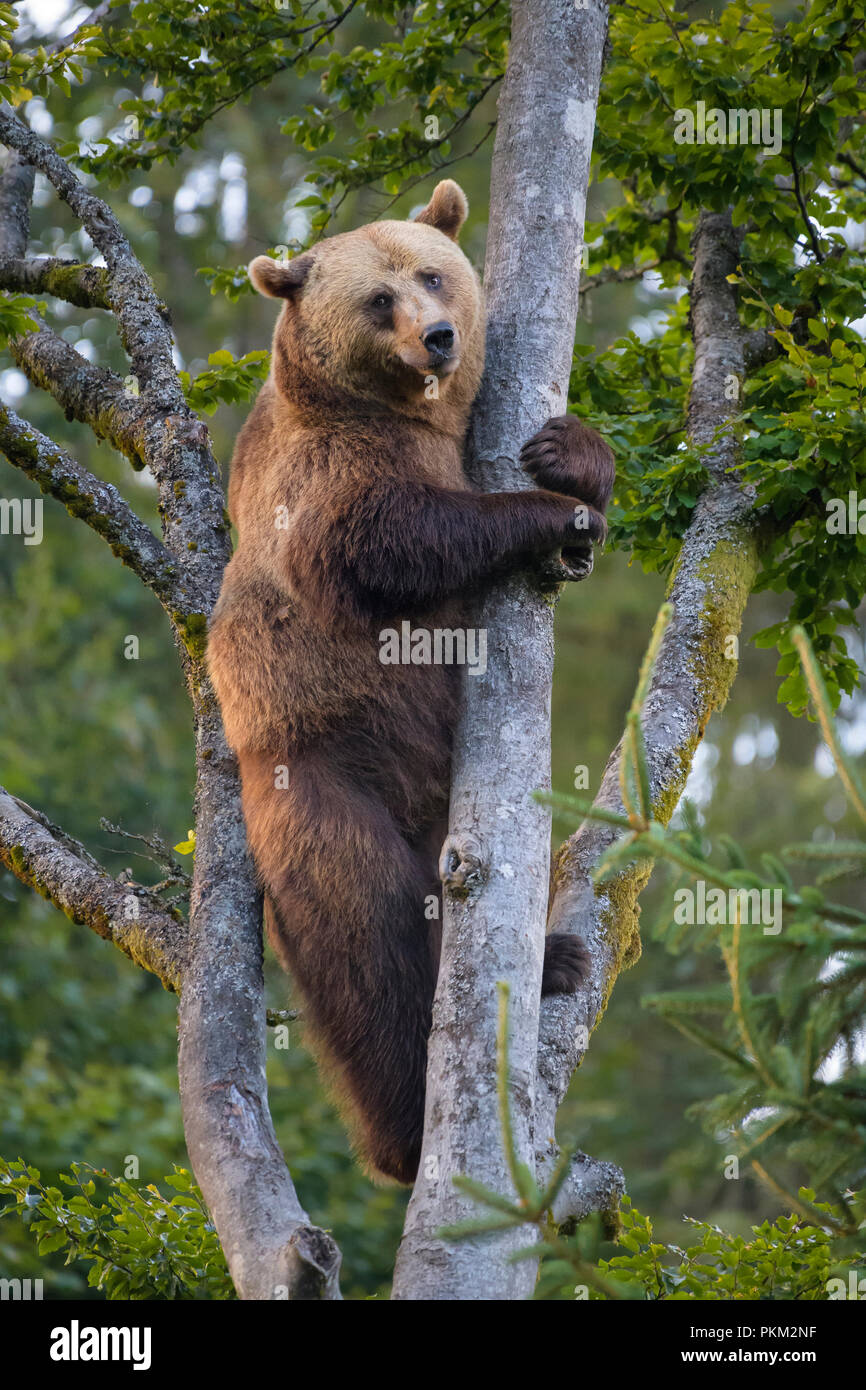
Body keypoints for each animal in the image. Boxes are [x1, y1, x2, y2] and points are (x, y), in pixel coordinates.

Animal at [207, 180, 615, 1185]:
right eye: (377, 298)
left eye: (432, 273)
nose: (437, 337)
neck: (413, 416)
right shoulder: (320, 483)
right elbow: (390, 539)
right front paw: (552, 513)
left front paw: (572, 455)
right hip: (322, 789)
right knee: (372, 946)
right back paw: (405, 1127)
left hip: (444, 818)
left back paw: (554, 957)